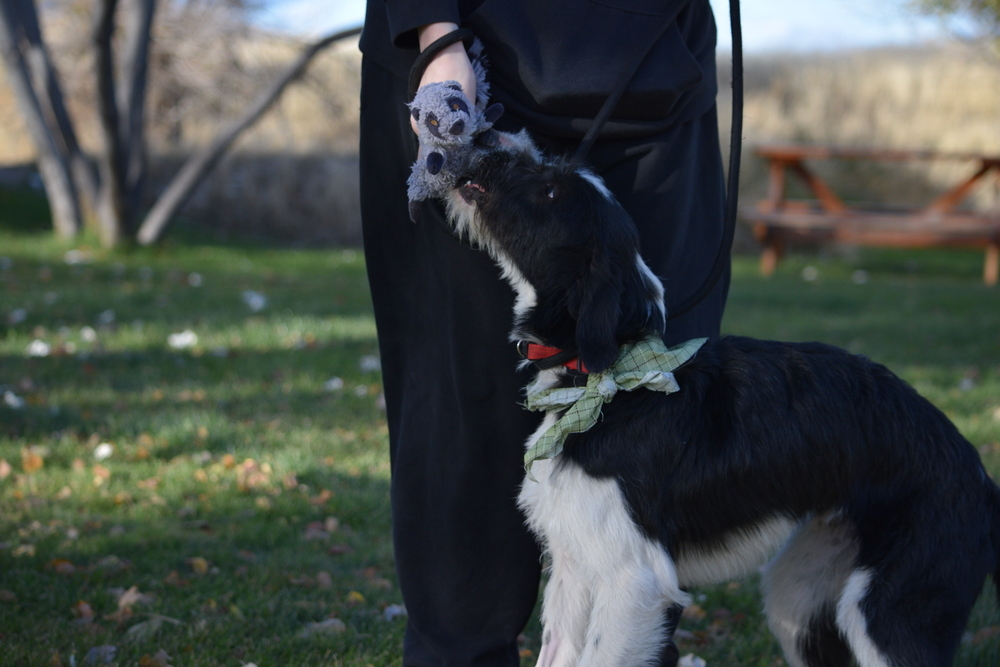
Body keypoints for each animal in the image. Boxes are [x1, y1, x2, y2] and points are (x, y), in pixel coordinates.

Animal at [448, 130, 1000, 667]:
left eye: (550, 191)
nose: (488, 138)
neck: (608, 385)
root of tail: (980, 475)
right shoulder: (576, 567)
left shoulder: (635, 582)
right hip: (801, 598)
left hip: (888, 612)